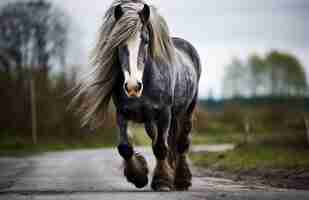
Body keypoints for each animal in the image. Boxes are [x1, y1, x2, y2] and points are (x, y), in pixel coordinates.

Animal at [72, 0, 202, 191]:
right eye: (118, 43)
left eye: (146, 40)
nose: (133, 86)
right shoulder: (122, 113)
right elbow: (125, 147)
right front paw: (138, 176)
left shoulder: (165, 113)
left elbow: (161, 147)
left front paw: (162, 181)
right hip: (150, 121)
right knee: (159, 139)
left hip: (186, 111)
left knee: (181, 143)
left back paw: (181, 180)